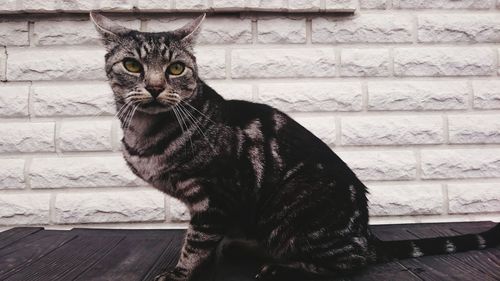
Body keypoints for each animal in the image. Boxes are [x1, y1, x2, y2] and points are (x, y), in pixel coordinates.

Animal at [90, 12, 500, 278]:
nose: (155, 86)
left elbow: (196, 242)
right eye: (132, 65)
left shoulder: (215, 196)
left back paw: (279, 265)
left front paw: (181, 272)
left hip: (294, 214)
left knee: (351, 262)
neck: (144, 131)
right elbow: (205, 242)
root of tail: (366, 232)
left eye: (176, 69)